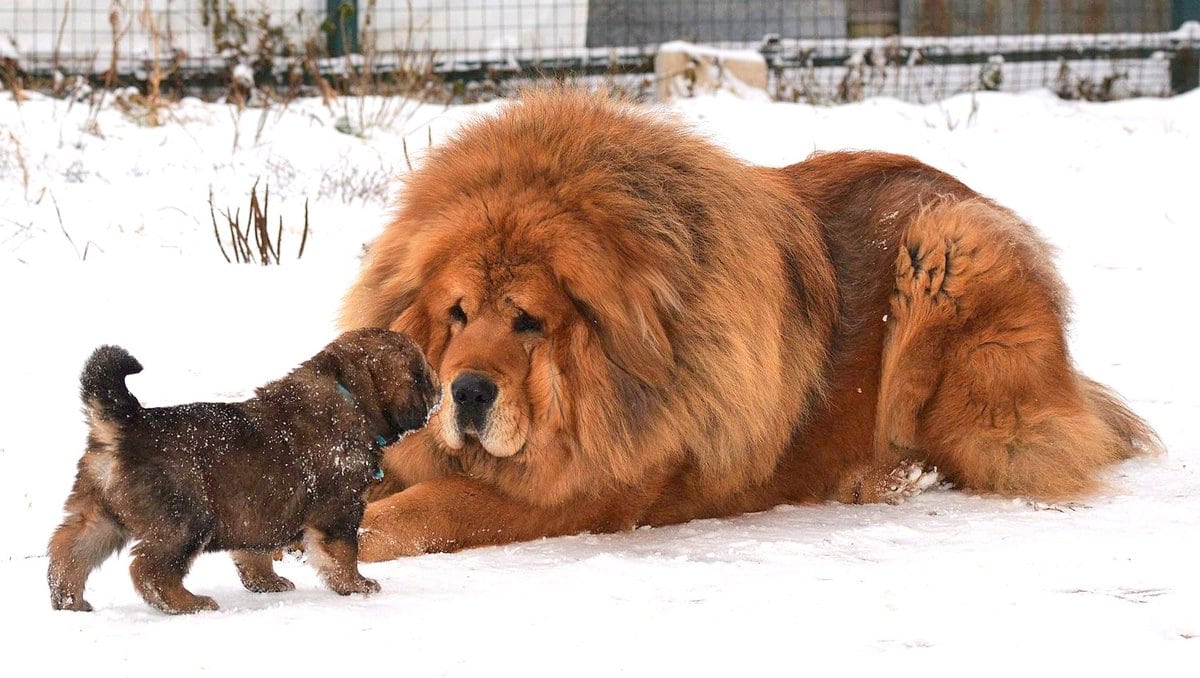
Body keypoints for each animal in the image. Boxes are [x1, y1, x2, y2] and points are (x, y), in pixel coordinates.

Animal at [49, 328, 441, 614]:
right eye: (422, 373)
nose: (440, 388)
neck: (351, 396)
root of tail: (127, 423)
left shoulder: (258, 513)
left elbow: (255, 554)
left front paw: (267, 583)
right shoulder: (339, 509)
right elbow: (343, 553)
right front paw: (358, 586)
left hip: (99, 514)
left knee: (69, 551)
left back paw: (70, 602)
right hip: (186, 520)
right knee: (149, 570)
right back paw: (188, 603)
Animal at [340, 88, 1161, 561]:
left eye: (529, 322)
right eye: (457, 314)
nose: (468, 392)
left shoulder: (583, 490)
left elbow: (430, 506)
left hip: (951, 253)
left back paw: (883, 475)